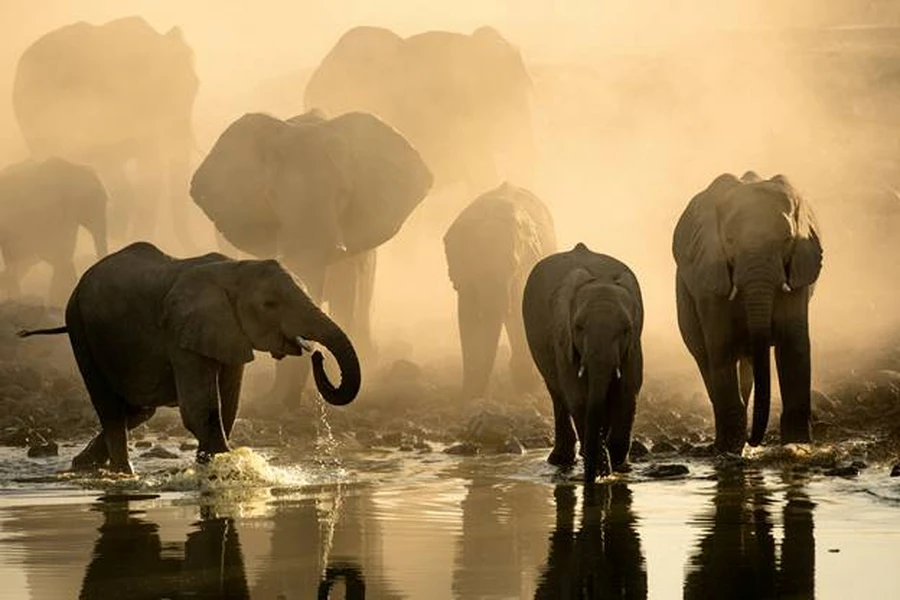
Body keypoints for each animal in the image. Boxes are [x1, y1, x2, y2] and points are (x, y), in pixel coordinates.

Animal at [17, 242, 360, 474]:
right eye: (270, 304)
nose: (317, 355)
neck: (234, 268)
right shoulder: (181, 332)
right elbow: (201, 410)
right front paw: (223, 467)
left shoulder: (228, 332)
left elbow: (229, 404)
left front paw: (210, 465)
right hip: (80, 327)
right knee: (112, 409)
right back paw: (122, 475)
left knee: (139, 410)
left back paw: (82, 465)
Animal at [443, 182, 556, 398]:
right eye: (472, 265)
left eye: (512, 265)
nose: (475, 395)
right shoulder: (463, 276)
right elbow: (467, 315)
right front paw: (469, 394)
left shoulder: (525, 265)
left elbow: (521, 306)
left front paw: (526, 385)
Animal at [522, 242, 644, 482]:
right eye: (578, 327)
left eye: (626, 329)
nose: (598, 476)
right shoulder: (564, 338)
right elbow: (578, 395)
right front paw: (601, 469)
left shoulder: (634, 345)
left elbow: (628, 390)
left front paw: (617, 468)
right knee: (557, 392)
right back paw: (561, 460)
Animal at [673, 171, 823, 453]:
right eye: (730, 241)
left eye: (787, 239)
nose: (754, 440)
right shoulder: (711, 272)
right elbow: (720, 346)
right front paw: (730, 451)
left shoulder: (796, 269)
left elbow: (794, 346)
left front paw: (797, 447)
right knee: (704, 356)